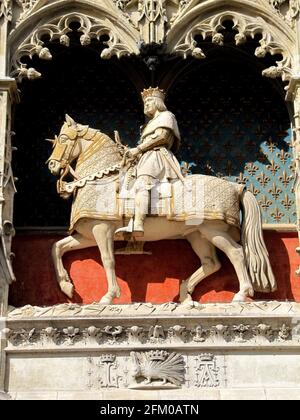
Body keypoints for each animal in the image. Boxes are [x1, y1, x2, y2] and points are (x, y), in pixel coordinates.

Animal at [47, 115, 276, 306]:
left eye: (64, 138)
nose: (52, 165)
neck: (101, 179)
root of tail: (236, 186)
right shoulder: (88, 234)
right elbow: (57, 247)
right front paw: (67, 287)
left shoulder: (102, 229)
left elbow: (108, 260)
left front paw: (109, 296)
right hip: (197, 234)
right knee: (211, 263)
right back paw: (185, 294)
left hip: (213, 230)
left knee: (236, 253)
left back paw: (241, 294)